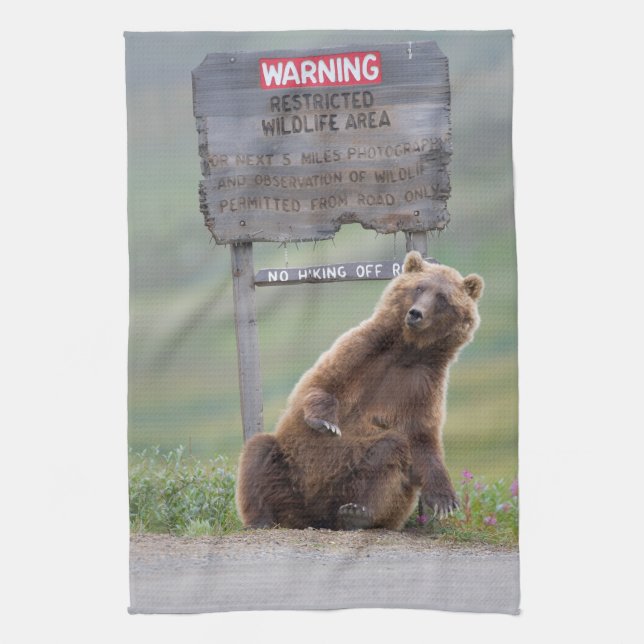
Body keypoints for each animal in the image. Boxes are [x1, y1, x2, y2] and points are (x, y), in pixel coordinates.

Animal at [236, 251, 484, 530]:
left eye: (443, 298)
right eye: (419, 287)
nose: (416, 314)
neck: (407, 350)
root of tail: (314, 517)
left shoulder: (422, 382)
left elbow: (421, 436)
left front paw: (445, 500)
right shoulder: (363, 350)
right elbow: (321, 384)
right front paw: (327, 423)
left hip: (349, 479)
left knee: (390, 451)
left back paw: (357, 513)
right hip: (290, 466)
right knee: (259, 453)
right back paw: (262, 519)